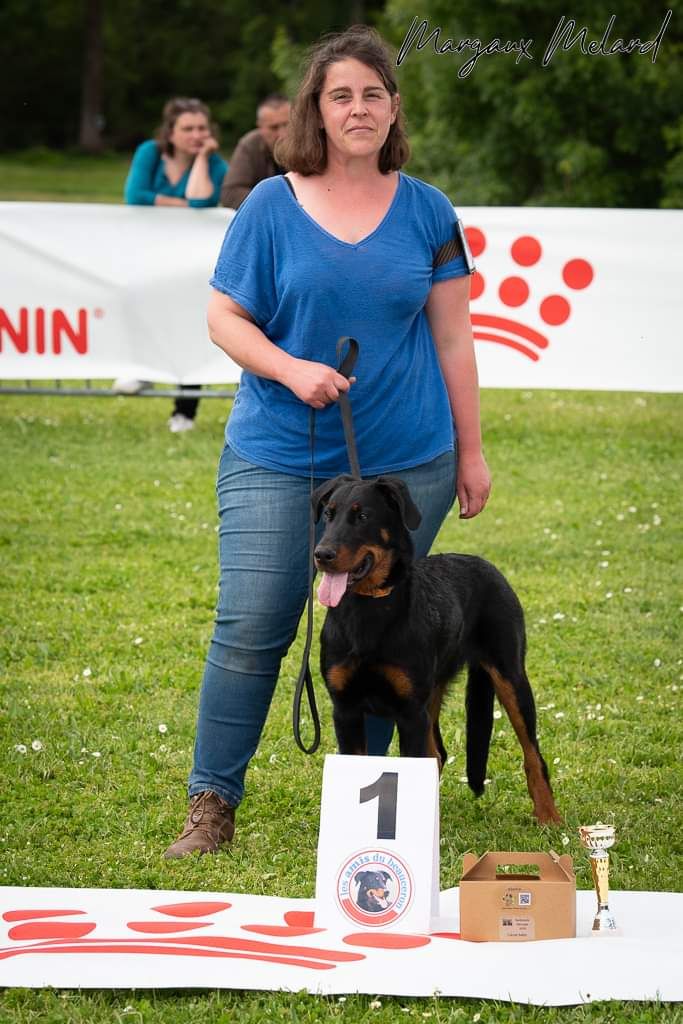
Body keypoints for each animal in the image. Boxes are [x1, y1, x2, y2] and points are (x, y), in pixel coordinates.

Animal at [313, 473, 565, 823]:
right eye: (328, 515)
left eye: (363, 516)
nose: (321, 554)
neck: (370, 609)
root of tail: (485, 564)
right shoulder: (346, 709)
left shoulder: (410, 713)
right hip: (433, 689)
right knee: (438, 753)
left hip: (510, 676)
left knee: (532, 753)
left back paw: (549, 816)